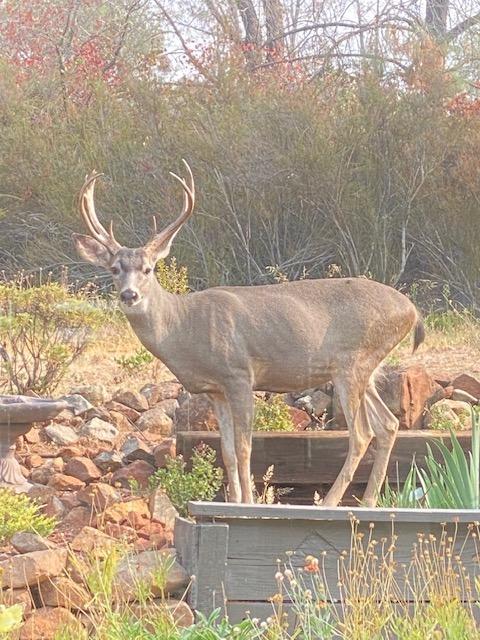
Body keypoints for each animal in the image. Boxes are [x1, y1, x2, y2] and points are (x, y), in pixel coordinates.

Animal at [72, 162, 424, 508]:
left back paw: (330, 503)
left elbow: (244, 448)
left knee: (362, 433)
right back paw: (368, 503)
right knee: (388, 424)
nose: (129, 295)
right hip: (367, 368)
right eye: (114, 269)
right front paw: (237, 499)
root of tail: (412, 310)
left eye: (148, 269)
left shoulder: (239, 374)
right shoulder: (215, 390)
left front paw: (248, 503)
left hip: (351, 364)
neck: (184, 326)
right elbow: (227, 452)